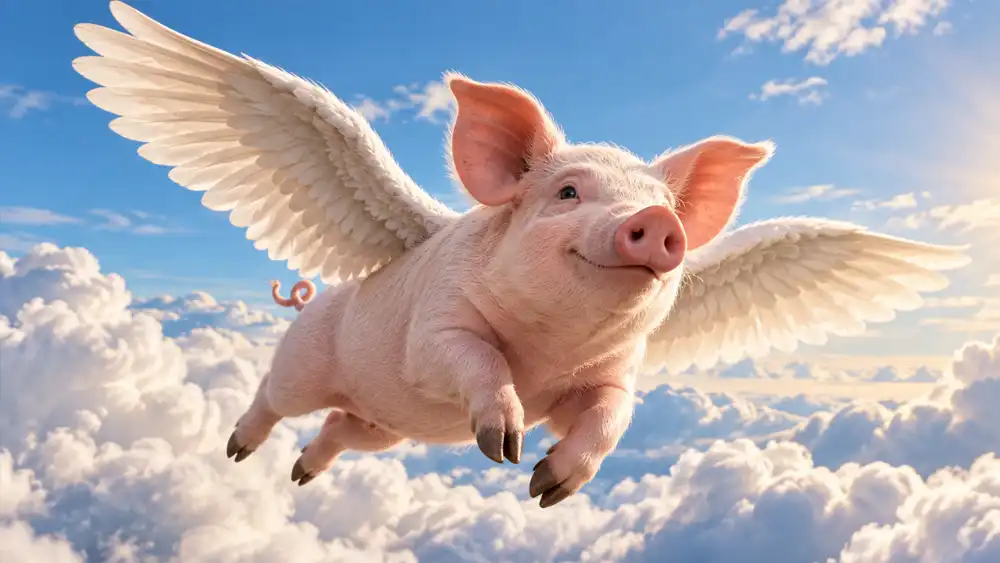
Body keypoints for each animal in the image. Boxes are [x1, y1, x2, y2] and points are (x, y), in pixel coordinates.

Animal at [230, 75, 772, 508]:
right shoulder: (433, 329)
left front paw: (544, 489)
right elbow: (475, 355)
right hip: (306, 362)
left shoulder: (611, 375)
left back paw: (301, 473)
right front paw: (504, 449)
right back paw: (238, 449)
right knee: (274, 393)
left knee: (339, 429)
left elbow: (611, 417)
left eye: (665, 204)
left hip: (382, 429)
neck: (547, 353)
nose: (657, 219)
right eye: (568, 192)